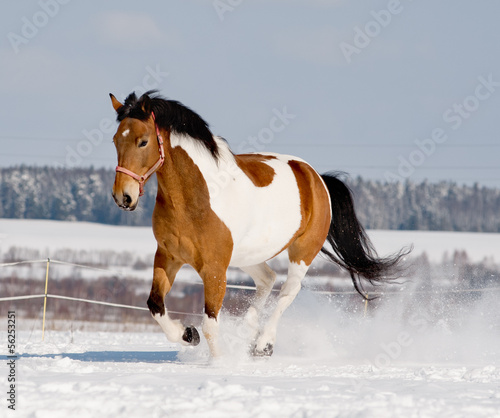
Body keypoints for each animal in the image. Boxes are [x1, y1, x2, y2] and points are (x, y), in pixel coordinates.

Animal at [109, 90, 406, 356]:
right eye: (115, 141)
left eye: (143, 141)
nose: (123, 197)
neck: (198, 197)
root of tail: (316, 177)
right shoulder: (167, 256)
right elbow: (155, 306)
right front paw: (187, 334)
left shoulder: (214, 268)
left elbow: (210, 325)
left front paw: (219, 363)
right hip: (247, 255)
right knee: (267, 279)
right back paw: (248, 332)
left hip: (302, 252)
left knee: (287, 291)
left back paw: (263, 343)